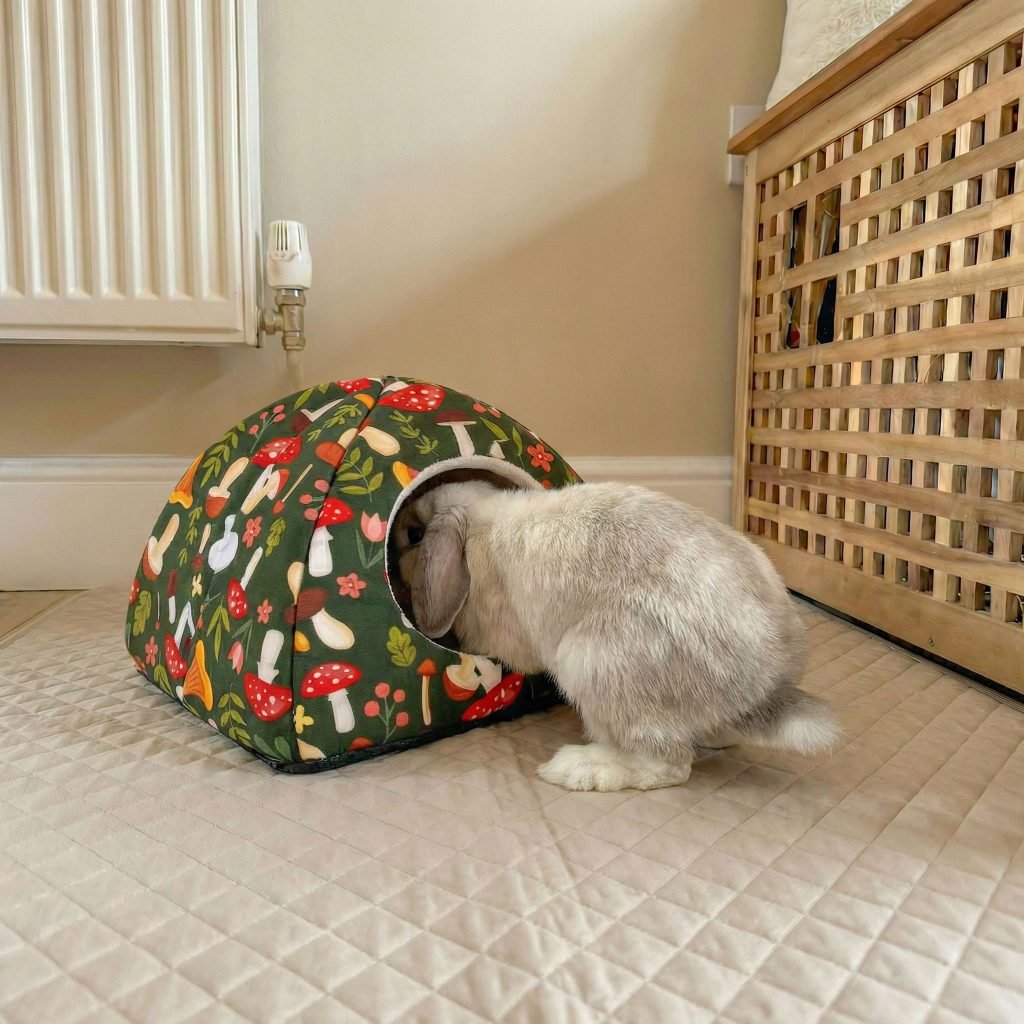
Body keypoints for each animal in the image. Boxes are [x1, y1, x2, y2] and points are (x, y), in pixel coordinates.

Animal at [393, 478, 838, 792]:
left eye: (415, 535)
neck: (477, 527)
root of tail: (762, 689)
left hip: (593, 661)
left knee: (670, 763)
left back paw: (579, 769)